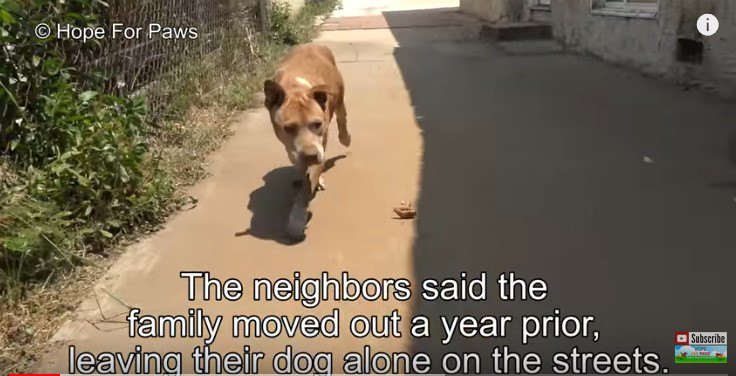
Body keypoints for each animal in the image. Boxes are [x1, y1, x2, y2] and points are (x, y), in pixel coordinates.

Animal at [264, 43, 350, 238]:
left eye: (317, 124)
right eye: (288, 128)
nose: (310, 155)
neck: (295, 89)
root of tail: (312, 44)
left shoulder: (320, 148)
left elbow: (307, 186)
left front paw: (296, 220)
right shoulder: (293, 151)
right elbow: (301, 169)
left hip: (340, 99)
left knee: (342, 118)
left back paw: (345, 138)